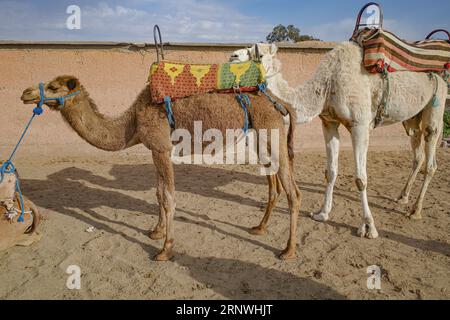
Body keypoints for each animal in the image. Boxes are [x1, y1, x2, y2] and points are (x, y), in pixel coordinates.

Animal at [22, 76, 302, 262]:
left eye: (53, 86)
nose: (25, 93)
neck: (132, 122)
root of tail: (280, 102)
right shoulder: (154, 150)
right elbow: (158, 193)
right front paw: (155, 232)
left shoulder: (162, 148)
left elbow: (168, 197)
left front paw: (165, 249)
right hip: (260, 137)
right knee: (274, 184)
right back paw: (259, 228)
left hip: (271, 131)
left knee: (293, 192)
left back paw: (288, 250)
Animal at [232, 41, 446, 239]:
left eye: (257, 53)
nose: (233, 55)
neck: (327, 85)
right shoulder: (329, 122)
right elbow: (331, 171)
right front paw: (322, 213)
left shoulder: (360, 125)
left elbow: (360, 178)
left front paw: (368, 226)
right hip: (412, 119)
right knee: (417, 155)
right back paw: (402, 197)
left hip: (437, 103)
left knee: (431, 156)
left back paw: (415, 211)